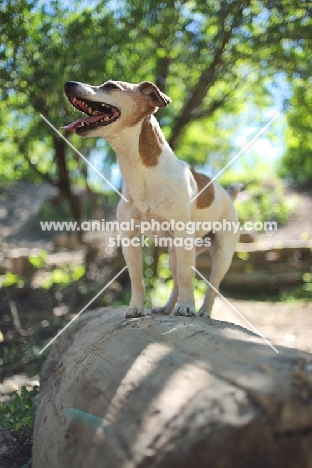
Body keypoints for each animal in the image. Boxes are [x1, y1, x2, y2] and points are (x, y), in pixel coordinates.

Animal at [62, 79, 240, 318]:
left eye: (110, 86)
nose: (68, 83)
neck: (141, 171)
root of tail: (228, 195)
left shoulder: (183, 234)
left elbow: (187, 277)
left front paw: (187, 306)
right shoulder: (130, 238)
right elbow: (137, 278)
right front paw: (136, 308)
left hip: (221, 253)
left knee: (211, 285)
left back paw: (202, 311)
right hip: (175, 253)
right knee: (176, 280)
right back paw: (167, 308)